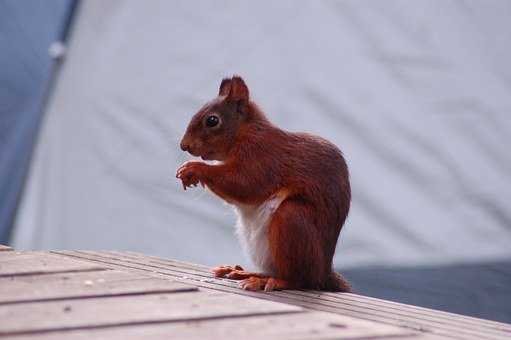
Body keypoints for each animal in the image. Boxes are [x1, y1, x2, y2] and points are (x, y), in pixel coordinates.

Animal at [177, 75, 352, 292]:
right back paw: (244, 273)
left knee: (300, 280)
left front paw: (194, 168)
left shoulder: (263, 158)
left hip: (292, 220)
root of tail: (324, 274)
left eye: (212, 120)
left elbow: (245, 184)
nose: (184, 145)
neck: (244, 133)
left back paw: (272, 281)